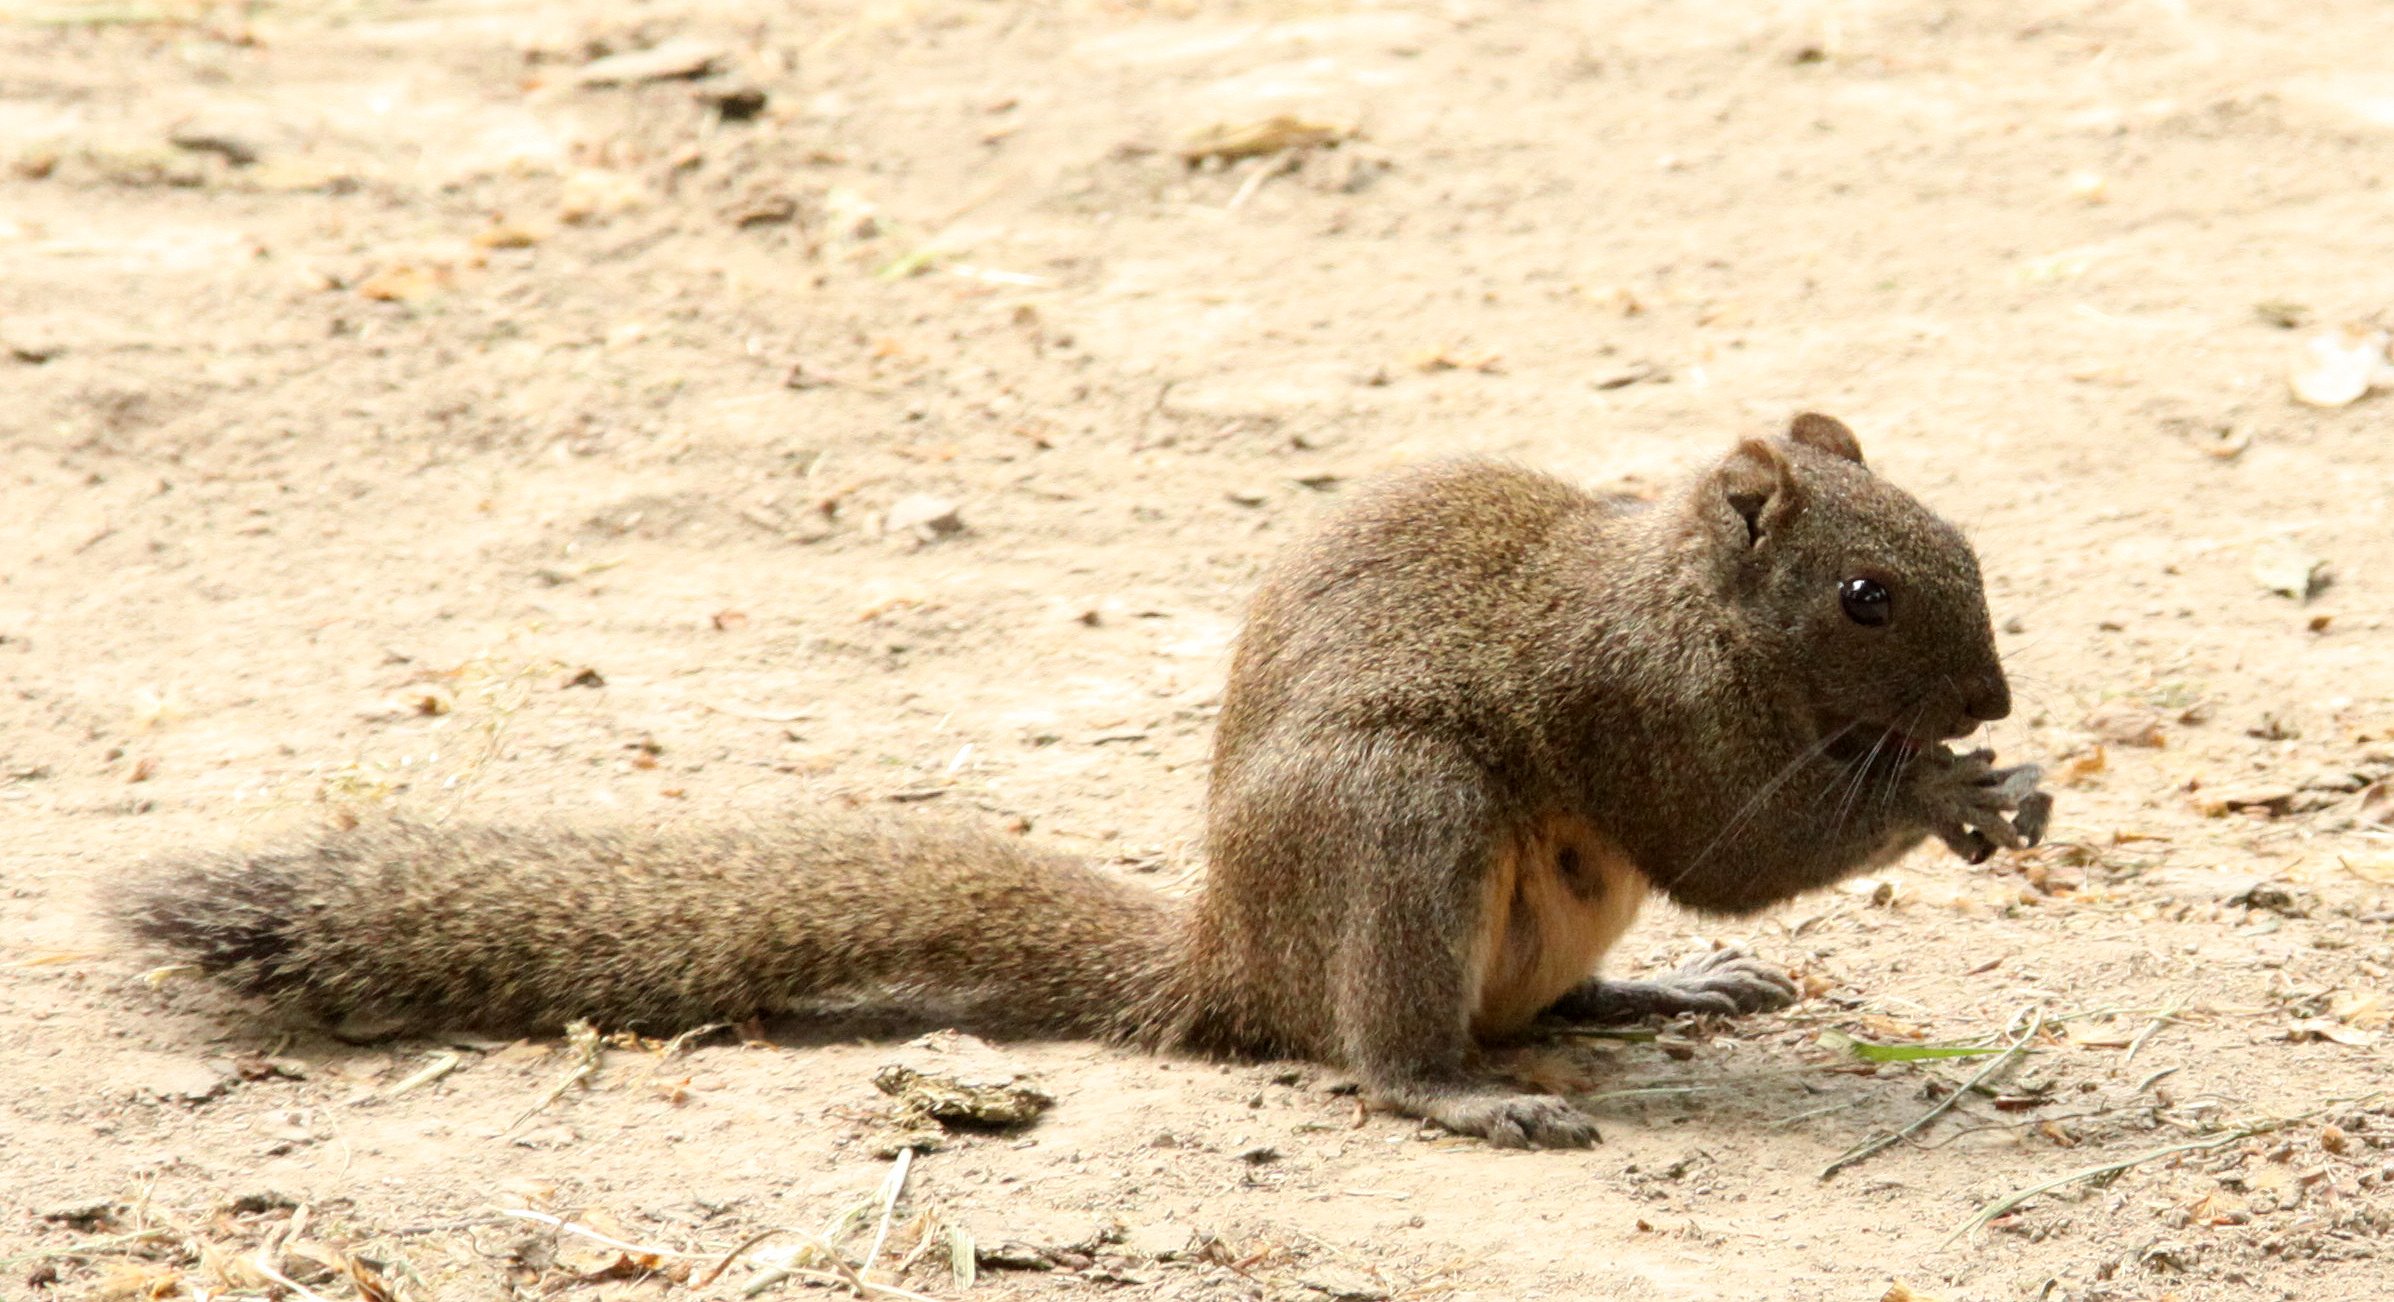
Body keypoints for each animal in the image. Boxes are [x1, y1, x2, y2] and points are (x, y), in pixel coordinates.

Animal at [116, 413, 2049, 1149]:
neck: (1670, 590)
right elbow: (1735, 835)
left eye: (1958, 537)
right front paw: (1950, 790)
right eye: (1865, 594)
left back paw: (1654, 994)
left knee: (1530, 1002)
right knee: (1382, 1048)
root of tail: (1230, 961)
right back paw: (1464, 1091)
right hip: (1395, 816)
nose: (1991, 688)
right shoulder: (1642, 708)